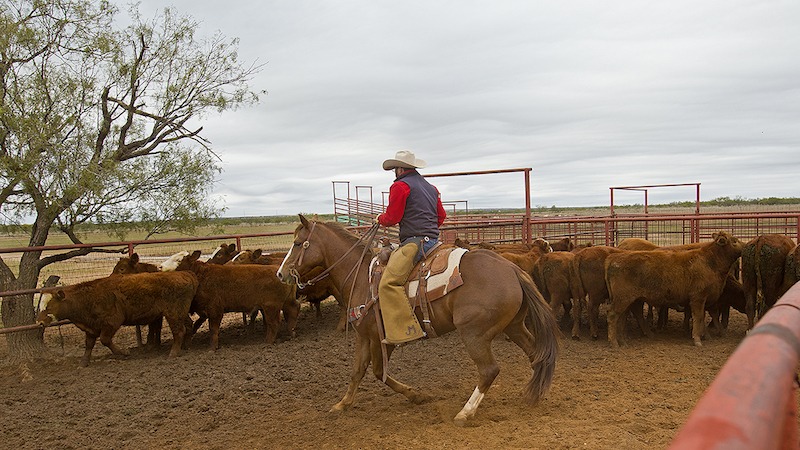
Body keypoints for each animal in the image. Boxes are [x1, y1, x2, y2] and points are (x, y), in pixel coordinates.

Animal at [37, 271, 199, 367]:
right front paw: (84, 362)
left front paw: (124, 352)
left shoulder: (112, 322)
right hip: (181, 312)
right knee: (188, 325)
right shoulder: (91, 327)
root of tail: (185, 274)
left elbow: (105, 340)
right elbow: (89, 344)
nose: (40, 322)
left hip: (173, 313)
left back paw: (174, 353)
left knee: (179, 331)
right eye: (40, 306)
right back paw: (186, 346)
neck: (87, 298)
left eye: (49, 306)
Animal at [162, 250, 299, 350]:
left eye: (178, 260)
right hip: (287, 302)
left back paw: (268, 341)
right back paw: (291, 333)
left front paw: (212, 347)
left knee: (274, 323)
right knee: (292, 312)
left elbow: (213, 329)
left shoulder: (215, 308)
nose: (160, 267)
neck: (202, 275)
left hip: (271, 306)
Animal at [604, 231, 743, 347]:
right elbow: (698, 317)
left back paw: (623, 341)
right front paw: (697, 339)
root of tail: (613, 258)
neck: (709, 261)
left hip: (630, 301)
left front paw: (706, 335)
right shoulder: (698, 299)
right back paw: (614, 343)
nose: (745, 245)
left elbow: (702, 317)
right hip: (622, 300)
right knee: (612, 315)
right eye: (735, 240)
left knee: (623, 317)